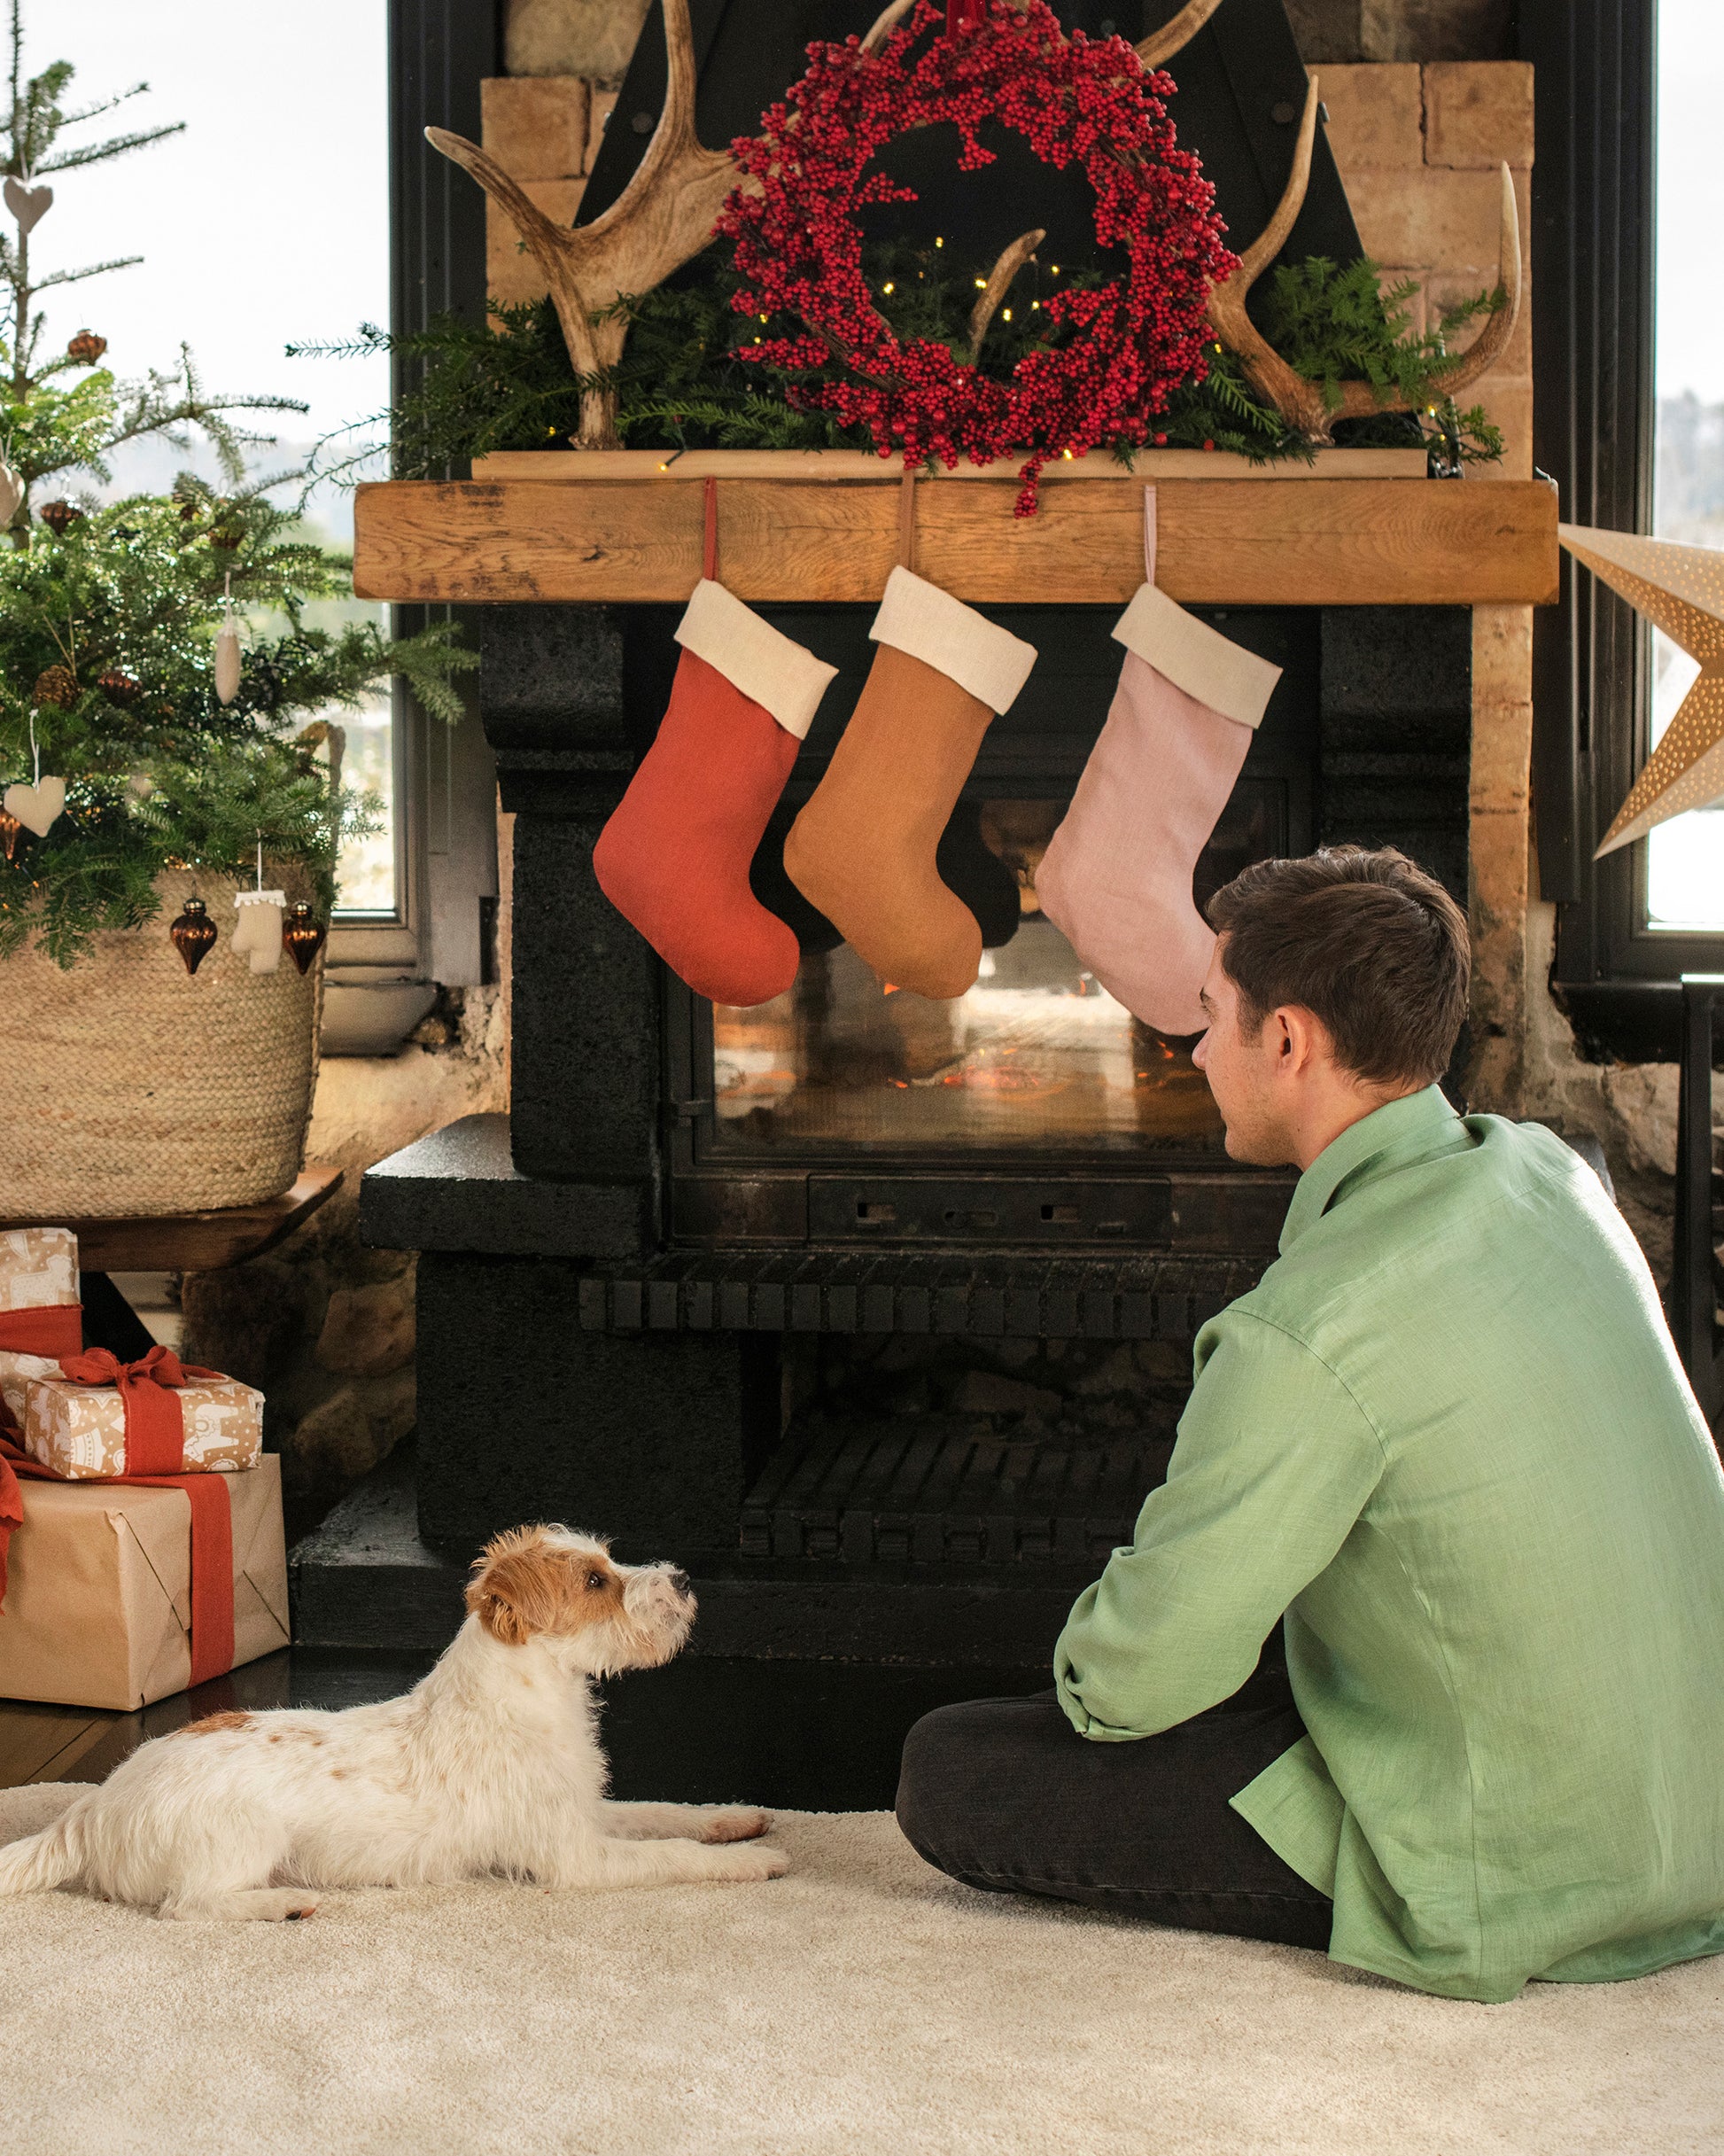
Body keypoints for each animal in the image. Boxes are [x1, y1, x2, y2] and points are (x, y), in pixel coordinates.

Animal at [0, 1517, 788, 1923]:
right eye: (596, 1581)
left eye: (610, 1560)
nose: (683, 1578)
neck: (525, 1697)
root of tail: (93, 1807)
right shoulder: (577, 1858)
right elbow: (675, 1853)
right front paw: (758, 1862)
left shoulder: (587, 1813)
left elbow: (668, 1813)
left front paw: (739, 1818)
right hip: (246, 1839)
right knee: (185, 1906)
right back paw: (286, 1901)